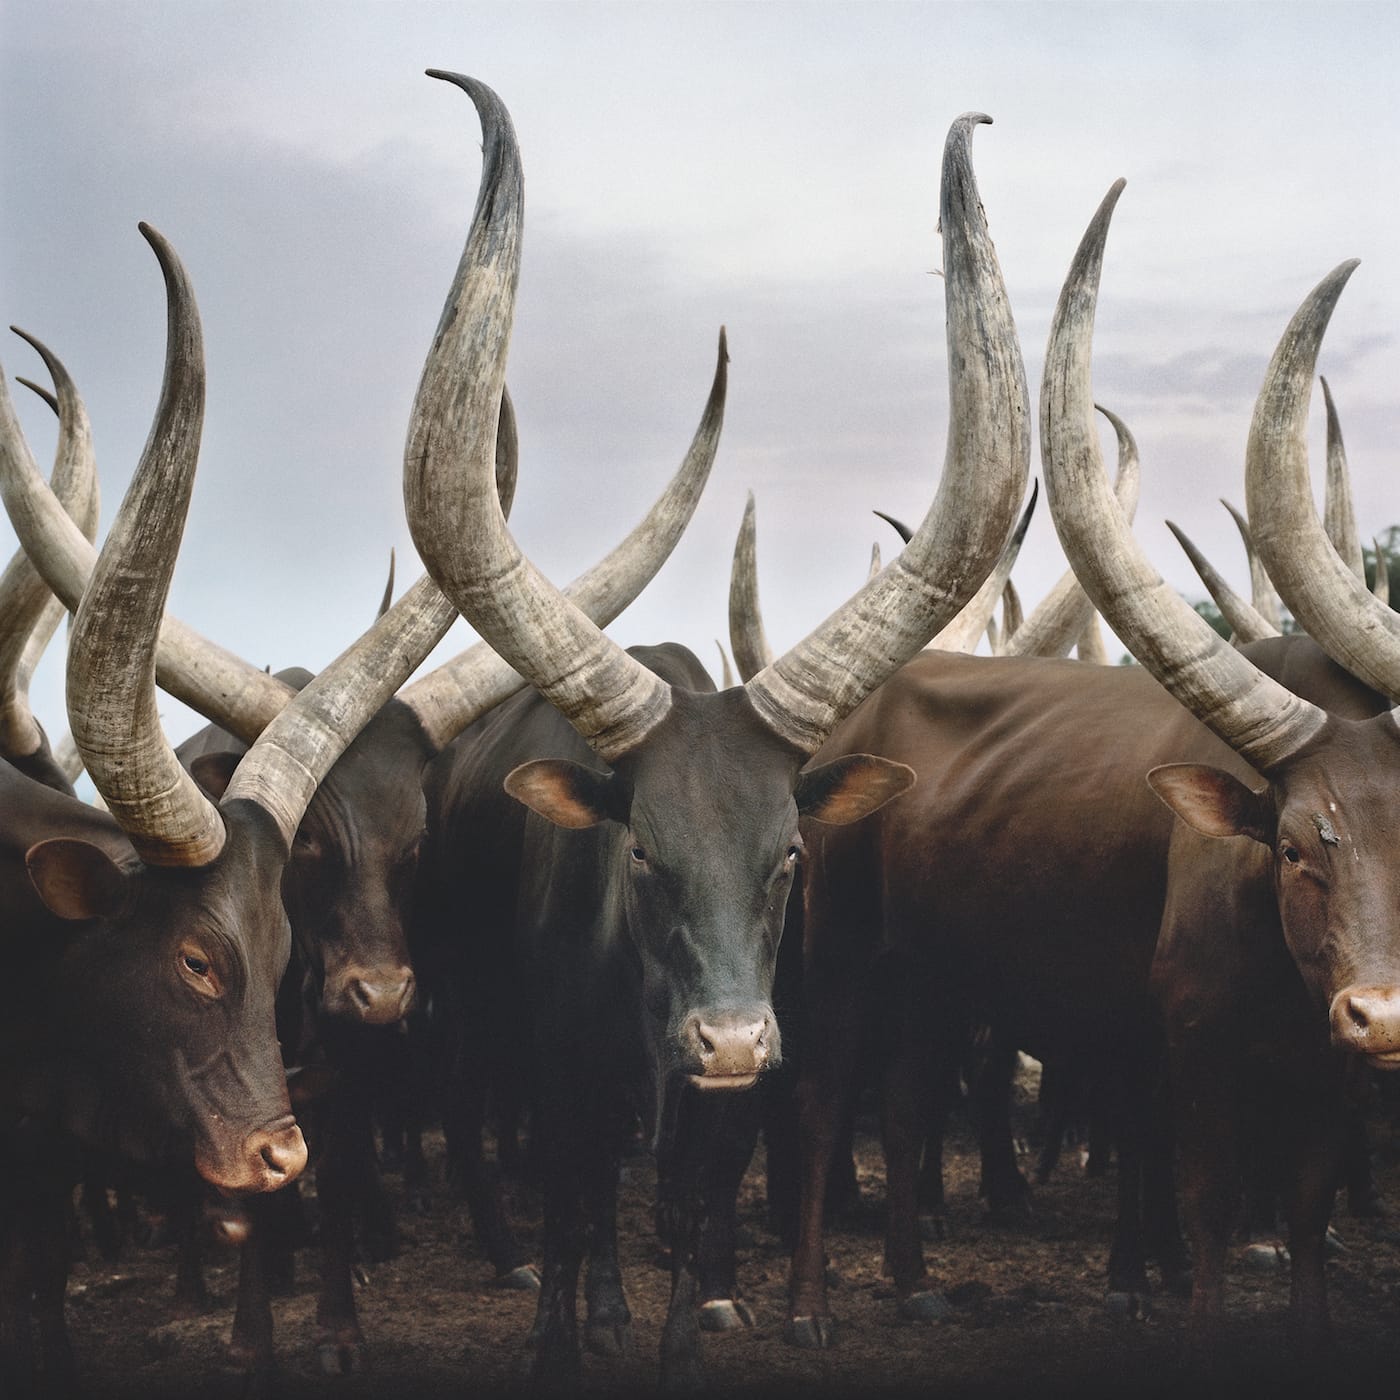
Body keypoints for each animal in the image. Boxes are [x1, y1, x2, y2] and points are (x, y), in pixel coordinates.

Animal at [400, 71, 1030, 1387]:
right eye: (639, 850)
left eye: (788, 852)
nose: (732, 1038)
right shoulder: (561, 1076)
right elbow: (575, 1206)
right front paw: (563, 1335)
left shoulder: (730, 1106)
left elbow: (693, 1218)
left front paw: (684, 1330)